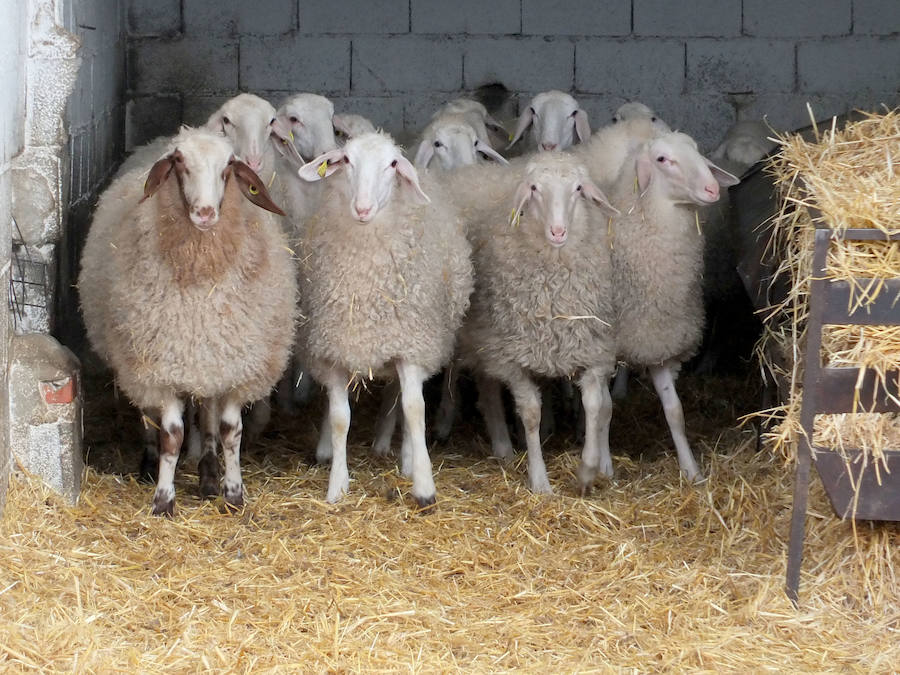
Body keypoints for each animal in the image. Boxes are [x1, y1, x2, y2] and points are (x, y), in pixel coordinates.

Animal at [77, 128, 296, 516]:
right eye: (179, 162)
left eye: (228, 166)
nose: (205, 213)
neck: (201, 287)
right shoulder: (160, 368)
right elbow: (172, 435)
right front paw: (163, 499)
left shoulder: (233, 367)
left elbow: (230, 431)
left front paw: (233, 493)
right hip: (139, 364)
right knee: (147, 415)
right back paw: (149, 463)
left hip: (202, 366)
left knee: (205, 415)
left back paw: (208, 474)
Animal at [298, 131, 478, 508]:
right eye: (346, 160)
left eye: (392, 164)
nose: (363, 209)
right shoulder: (334, 350)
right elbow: (340, 419)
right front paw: (337, 486)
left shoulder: (410, 347)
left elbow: (415, 409)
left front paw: (423, 486)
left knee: (406, 399)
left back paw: (406, 457)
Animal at [454, 152, 624, 492]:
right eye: (534, 188)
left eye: (578, 189)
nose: (558, 232)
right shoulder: (512, 358)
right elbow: (531, 414)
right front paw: (540, 480)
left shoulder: (593, 351)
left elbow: (595, 405)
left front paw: (587, 471)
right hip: (486, 341)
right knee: (489, 392)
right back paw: (503, 447)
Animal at [576, 132, 740, 492]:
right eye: (663, 160)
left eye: (696, 151)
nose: (712, 189)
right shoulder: (603, 351)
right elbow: (604, 409)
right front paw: (605, 467)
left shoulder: (660, 342)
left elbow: (675, 411)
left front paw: (692, 471)